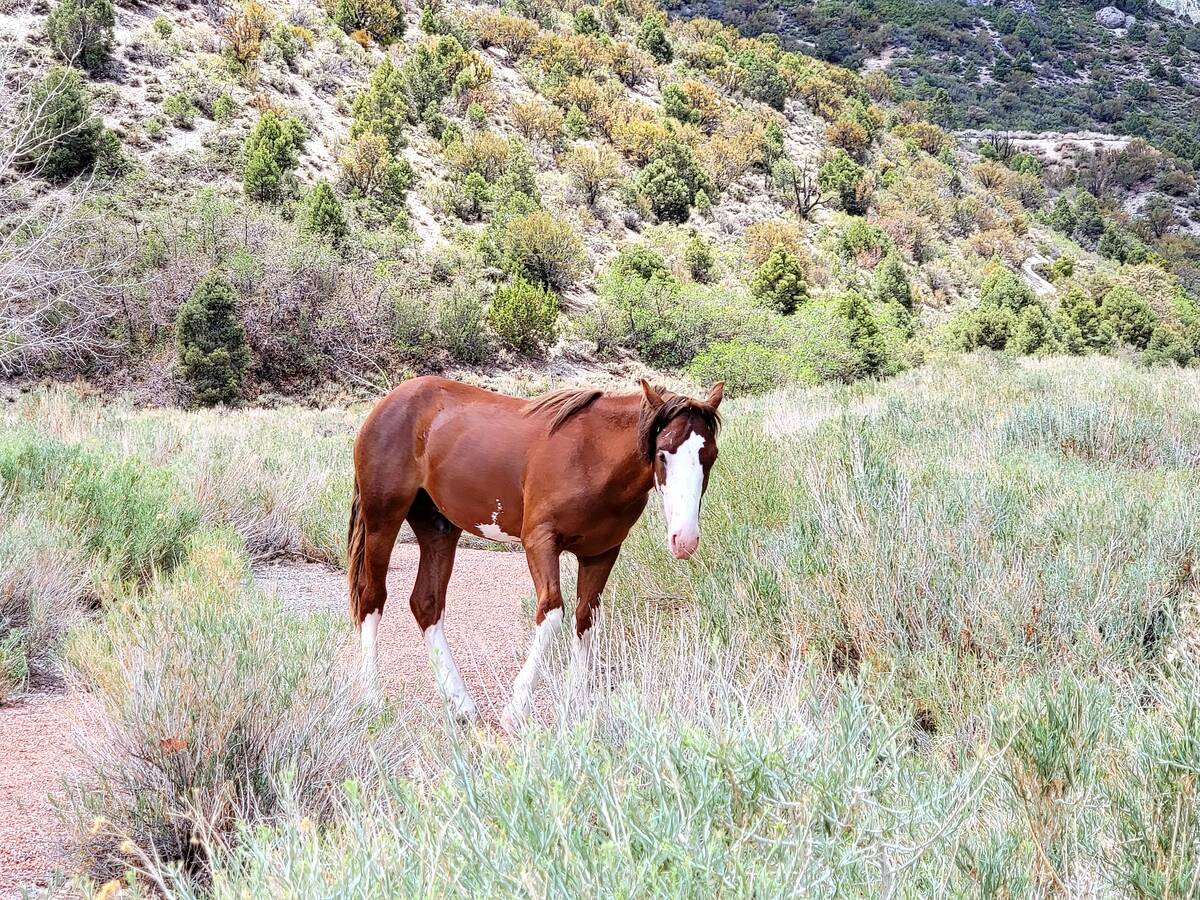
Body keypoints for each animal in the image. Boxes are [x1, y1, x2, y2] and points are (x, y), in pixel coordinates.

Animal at [348, 374, 720, 734]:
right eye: (663, 454)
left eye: (710, 456)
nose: (685, 539)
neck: (592, 455)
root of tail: (390, 401)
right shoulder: (540, 542)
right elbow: (552, 613)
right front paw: (515, 711)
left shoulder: (601, 553)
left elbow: (585, 619)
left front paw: (576, 707)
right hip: (383, 518)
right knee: (372, 596)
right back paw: (372, 698)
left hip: (438, 528)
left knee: (426, 604)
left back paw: (461, 704)